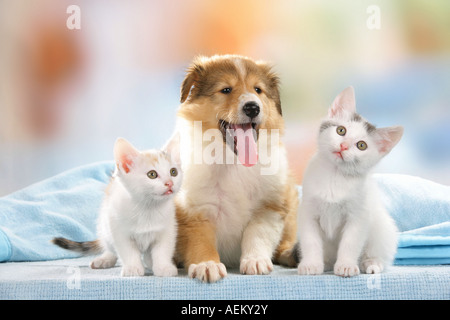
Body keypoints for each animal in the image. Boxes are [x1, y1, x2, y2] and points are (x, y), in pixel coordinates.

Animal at [55, 138, 183, 278]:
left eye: (173, 172)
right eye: (152, 174)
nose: (169, 183)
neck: (147, 208)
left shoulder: (168, 228)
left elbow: (163, 250)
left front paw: (163, 267)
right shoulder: (118, 228)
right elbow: (127, 251)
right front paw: (133, 268)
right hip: (104, 224)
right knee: (109, 247)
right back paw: (105, 259)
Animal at [165, 55, 298, 282]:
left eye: (258, 90)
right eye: (226, 89)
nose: (253, 108)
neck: (234, 163)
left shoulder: (270, 207)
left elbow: (257, 235)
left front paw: (255, 261)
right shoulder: (195, 211)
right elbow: (201, 242)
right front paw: (207, 265)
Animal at [298, 86, 402, 276]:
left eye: (361, 145)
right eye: (341, 131)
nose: (344, 146)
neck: (334, 176)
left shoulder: (359, 215)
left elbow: (350, 243)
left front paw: (346, 265)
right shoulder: (308, 211)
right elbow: (311, 241)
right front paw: (311, 264)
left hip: (383, 229)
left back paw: (372, 264)